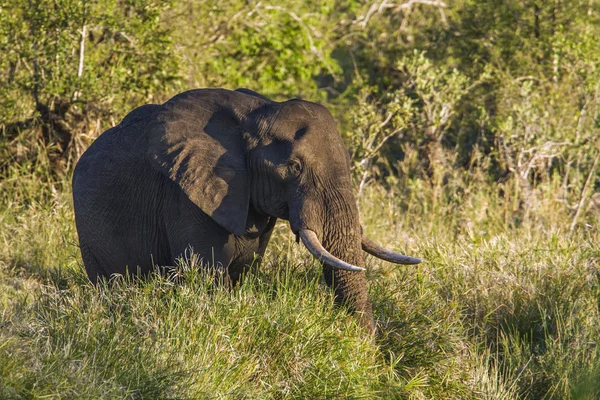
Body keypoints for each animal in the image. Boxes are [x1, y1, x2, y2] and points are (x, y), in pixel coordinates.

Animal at [72, 89, 422, 332]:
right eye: (294, 168)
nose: (371, 355)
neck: (254, 117)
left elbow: (245, 268)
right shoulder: (185, 195)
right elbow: (206, 274)